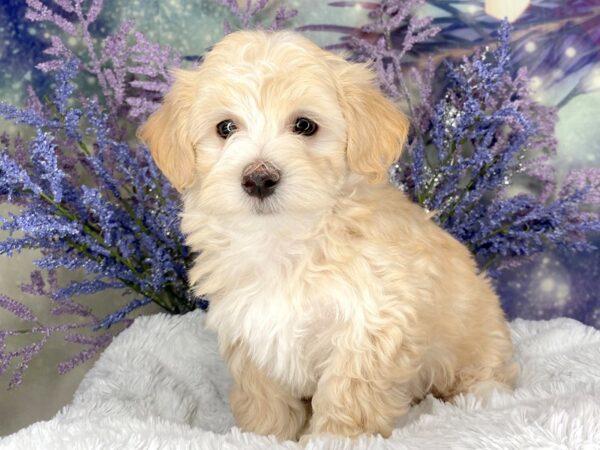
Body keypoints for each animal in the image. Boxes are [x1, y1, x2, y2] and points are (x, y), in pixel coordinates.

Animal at [139, 29, 516, 442]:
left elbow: (348, 392)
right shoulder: (251, 329)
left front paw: (333, 437)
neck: (287, 238)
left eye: (304, 126)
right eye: (225, 128)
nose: (259, 178)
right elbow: (264, 395)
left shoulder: (369, 325)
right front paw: (264, 434)